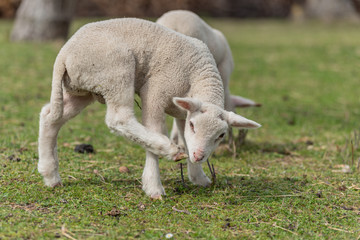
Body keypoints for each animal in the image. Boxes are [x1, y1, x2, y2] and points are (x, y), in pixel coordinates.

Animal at [38, 18, 260, 198]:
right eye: (194, 125)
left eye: (221, 135)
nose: (199, 156)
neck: (199, 74)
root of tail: (64, 53)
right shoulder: (154, 93)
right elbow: (156, 130)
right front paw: (154, 187)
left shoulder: (183, 112)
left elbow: (185, 138)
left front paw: (199, 177)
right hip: (116, 72)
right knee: (119, 119)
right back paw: (170, 150)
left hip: (83, 89)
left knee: (50, 117)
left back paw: (50, 175)